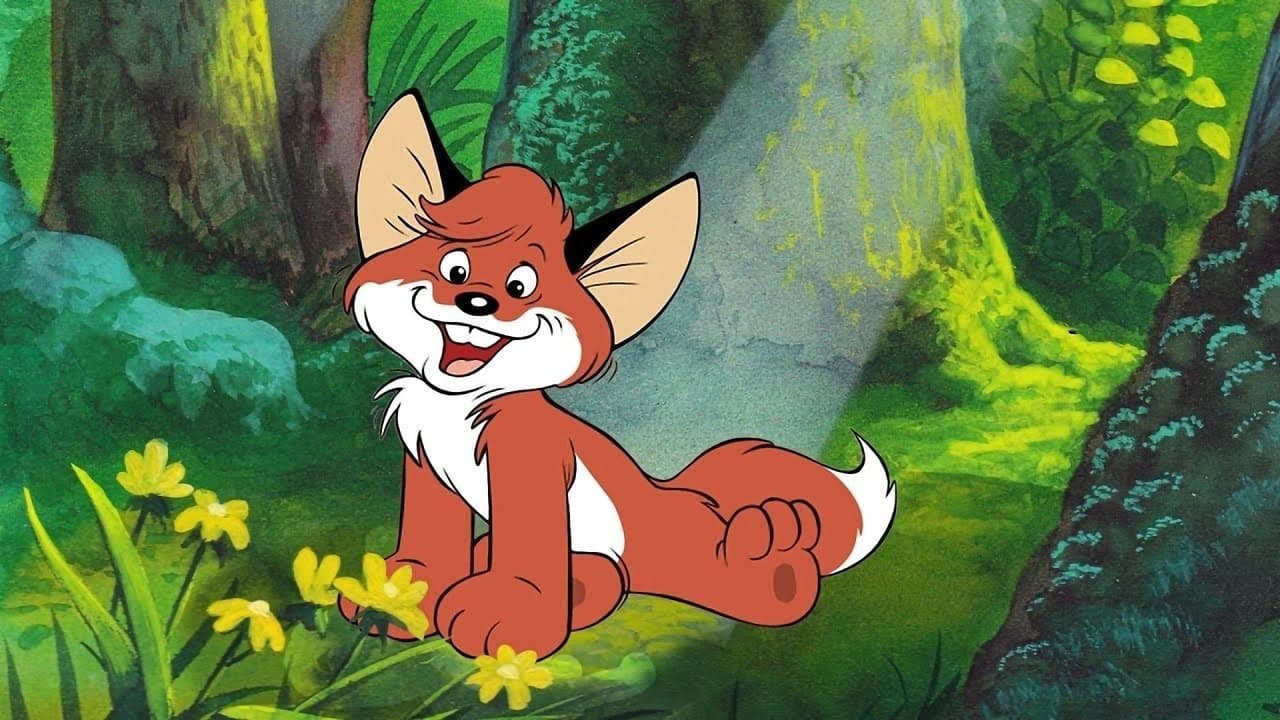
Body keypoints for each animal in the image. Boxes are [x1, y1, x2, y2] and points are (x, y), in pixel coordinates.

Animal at [337, 90, 897, 659]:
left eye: (521, 285)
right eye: (455, 269)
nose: (476, 301)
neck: (458, 406)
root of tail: (669, 493)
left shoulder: (529, 460)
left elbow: (527, 556)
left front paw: (506, 615)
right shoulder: (423, 457)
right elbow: (431, 542)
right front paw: (398, 595)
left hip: (690, 557)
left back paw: (771, 547)